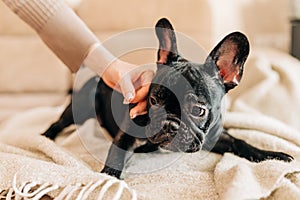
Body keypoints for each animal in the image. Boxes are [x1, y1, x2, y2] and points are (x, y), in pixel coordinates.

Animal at [42, 18, 292, 178]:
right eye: (153, 101)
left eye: (198, 110)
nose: (169, 124)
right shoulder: (126, 134)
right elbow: (116, 156)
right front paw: (109, 178)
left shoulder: (216, 136)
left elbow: (241, 143)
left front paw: (273, 156)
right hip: (80, 107)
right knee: (59, 122)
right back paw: (46, 137)